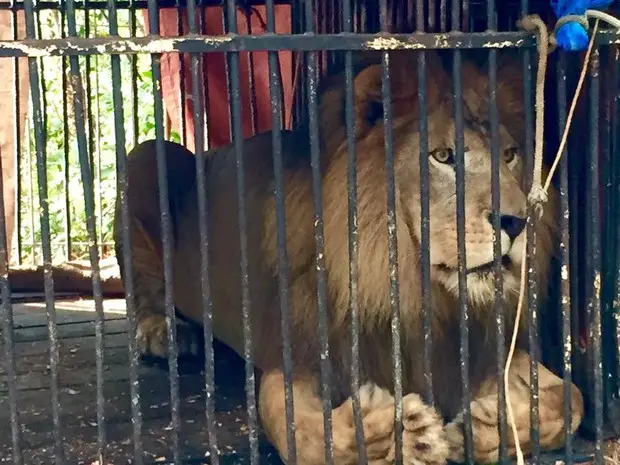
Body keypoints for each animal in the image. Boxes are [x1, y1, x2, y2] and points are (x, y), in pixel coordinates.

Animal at [114, 49, 584, 462]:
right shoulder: (303, 353)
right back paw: (165, 333)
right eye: (443, 156)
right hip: (146, 159)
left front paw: (489, 428)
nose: (517, 221)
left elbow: (569, 399)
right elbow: (300, 428)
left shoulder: (478, 349)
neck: (419, 294)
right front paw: (399, 434)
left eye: (510, 155)